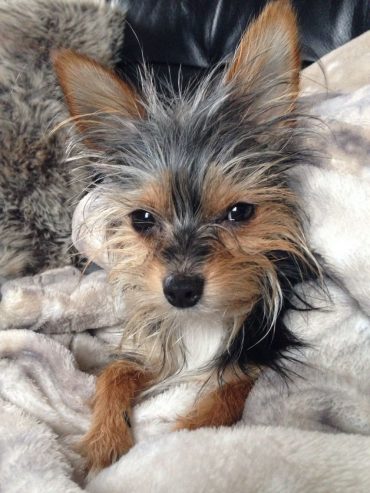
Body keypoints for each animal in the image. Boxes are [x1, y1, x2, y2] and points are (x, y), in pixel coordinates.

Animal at [53, 0, 320, 468]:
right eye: (142, 219)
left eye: (240, 212)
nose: (179, 290)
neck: (202, 323)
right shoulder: (155, 346)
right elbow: (115, 371)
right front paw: (104, 443)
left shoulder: (259, 353)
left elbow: (229, 395)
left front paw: (181, 440)